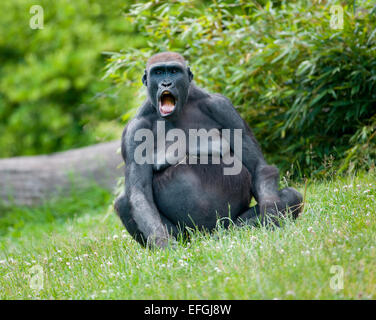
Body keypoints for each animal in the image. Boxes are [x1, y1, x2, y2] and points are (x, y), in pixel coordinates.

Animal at [114, 52, 302, 248]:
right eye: (158, 72)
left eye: (173, 71)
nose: (166, 83)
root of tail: (204, 237)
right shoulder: (134, 130)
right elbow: (139, 193)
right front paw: (162, 243)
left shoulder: (223, 107)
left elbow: (259, 168)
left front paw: (270, 216)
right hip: (188, 237)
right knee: (124, 202)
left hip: (225, 225)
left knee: (291, 195)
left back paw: (230, 235)